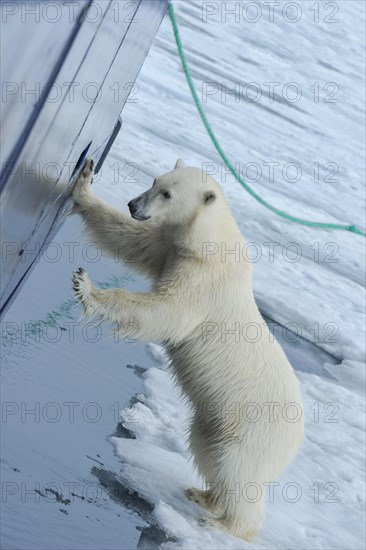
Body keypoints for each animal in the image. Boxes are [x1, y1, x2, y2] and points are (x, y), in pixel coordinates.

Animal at [71, 157, 304, 540]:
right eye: (156, 181)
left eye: (167, 194)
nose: (134, 204)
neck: (207, 243)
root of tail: (298, 436)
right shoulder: (172, 248)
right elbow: (130, 240)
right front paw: (84, 183)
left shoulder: (203, 282)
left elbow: (166, 312)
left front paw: (86, 286)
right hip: (212, 421)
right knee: (206, 452)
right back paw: (203, 495)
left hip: (253, 429)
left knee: (238, 473)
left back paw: (225, 523)